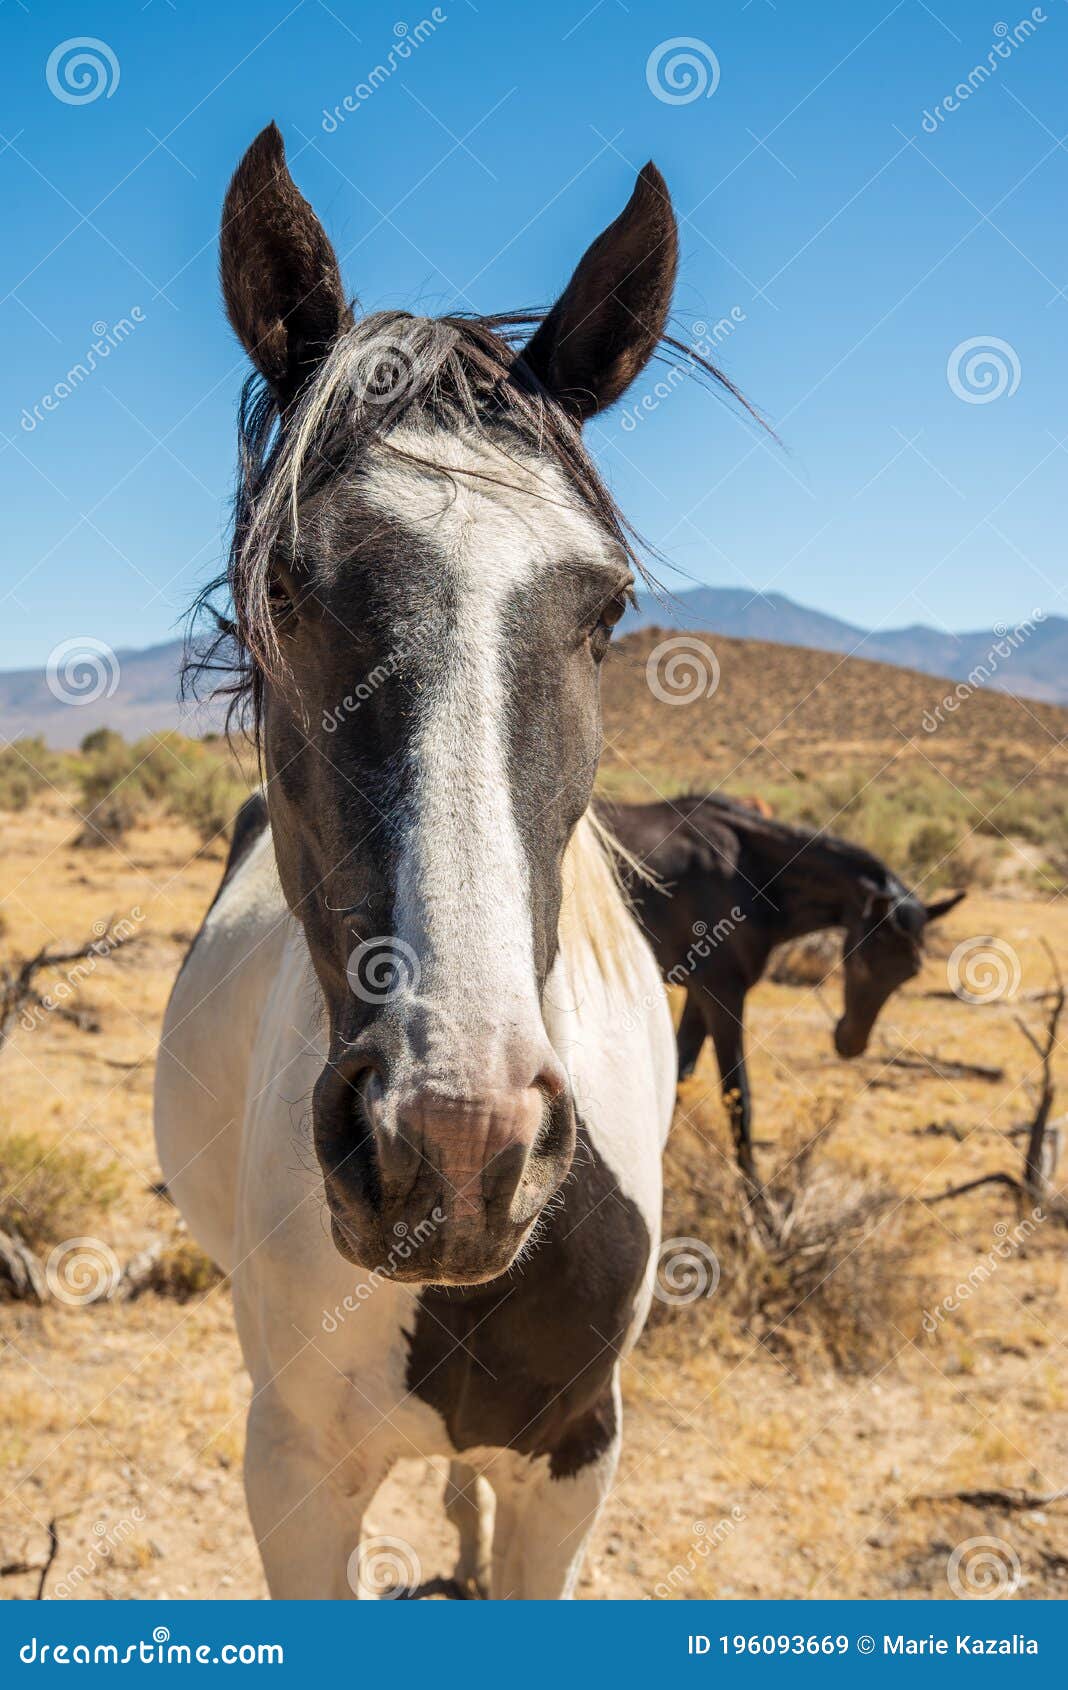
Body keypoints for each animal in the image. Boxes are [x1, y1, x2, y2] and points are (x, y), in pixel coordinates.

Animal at [601, 794, 966, 1176]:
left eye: (910, 972)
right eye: (860, 961)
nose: (851, 1043)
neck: (745, 875)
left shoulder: (701, 995)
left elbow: (679, 1076)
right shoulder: (723, 994)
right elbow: (738, 1096)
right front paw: (756, 1193)